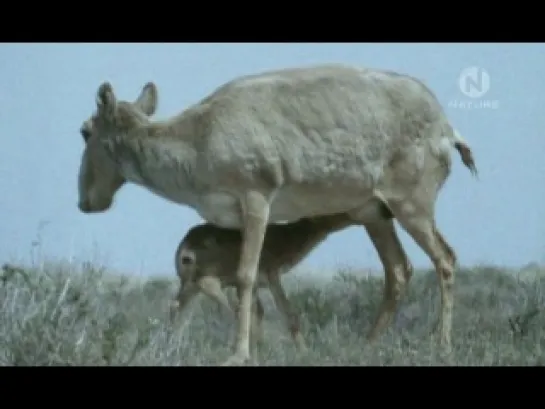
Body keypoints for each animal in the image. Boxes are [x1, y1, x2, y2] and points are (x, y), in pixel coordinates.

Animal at [76, 63, 476, 364]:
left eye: (84, 131)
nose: (85, 202)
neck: (198, 138)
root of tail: (447, 127)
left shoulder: (256, 200)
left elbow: (247, 277)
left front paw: (237, 355)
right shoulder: (238, 222)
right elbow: (250, 294)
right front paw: (252, 352)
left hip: (412, 207)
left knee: (445, 259)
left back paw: (442, 348)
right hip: (374, 214)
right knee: (398, 271)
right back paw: (367, 347)